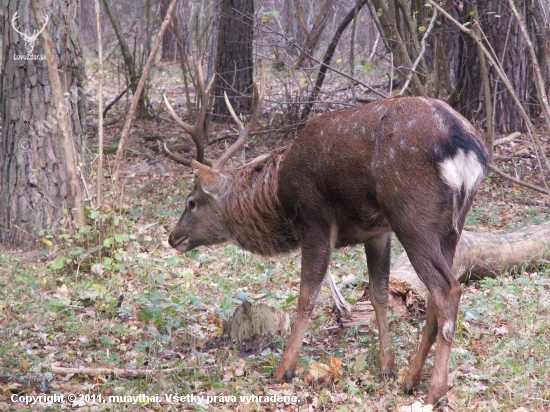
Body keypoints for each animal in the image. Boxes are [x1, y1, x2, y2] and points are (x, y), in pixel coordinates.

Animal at [164, 62, 488, 408]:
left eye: (191, 201)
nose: (173, 237)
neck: (278, 194)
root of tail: (465, 146)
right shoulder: (377, 231)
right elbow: (379, 294)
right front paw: (387, 366)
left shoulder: (314, 219)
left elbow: (307, 295)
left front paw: (284, 369)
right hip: (452, 225)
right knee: (436, 294)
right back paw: (411, 379)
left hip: (412, 215)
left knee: (447, 290)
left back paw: (435, 390)